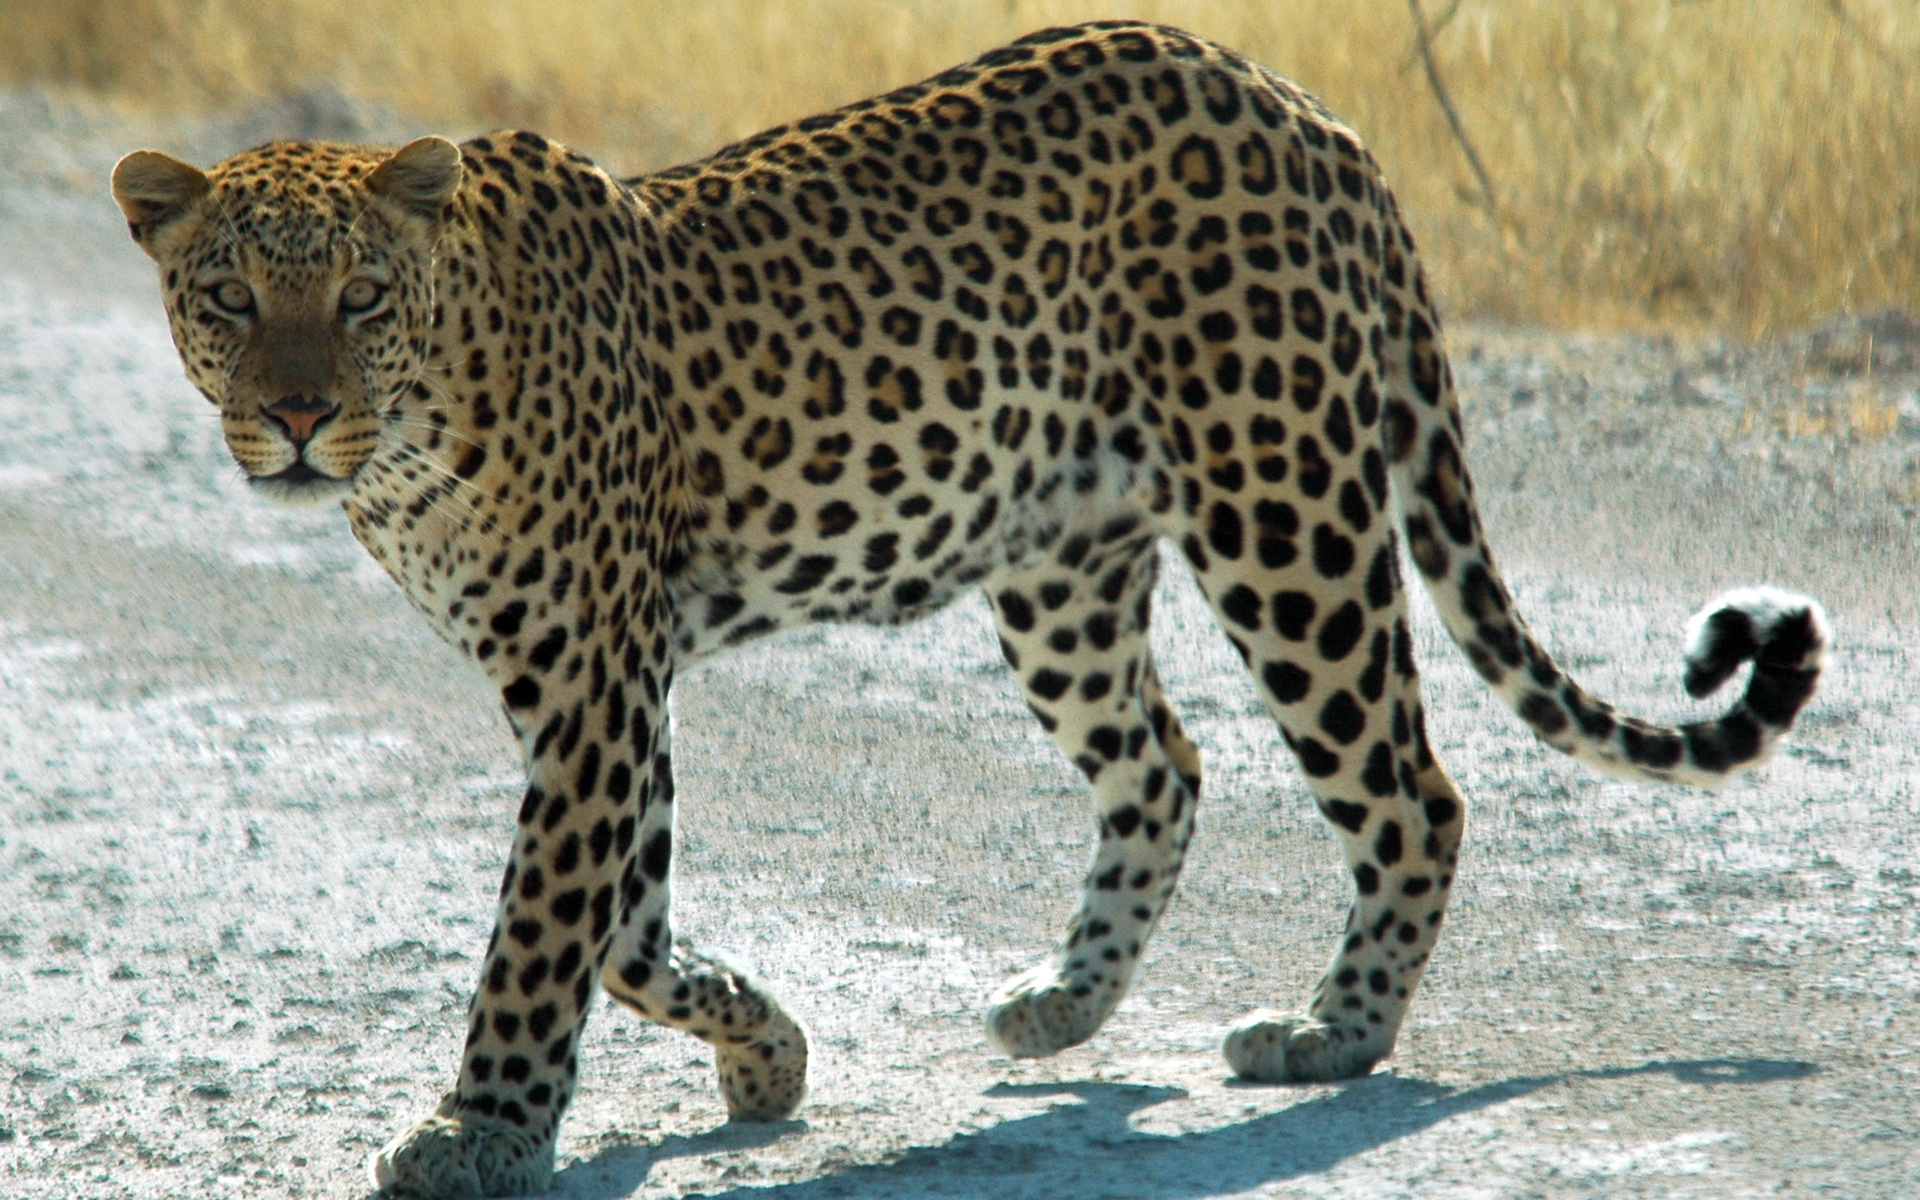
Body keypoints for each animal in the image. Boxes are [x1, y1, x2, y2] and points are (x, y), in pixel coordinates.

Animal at [108, 21, 1827, 1198]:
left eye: (359, 299)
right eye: (228, 300)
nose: (299, 420)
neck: (418, 432)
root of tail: (1303, 104)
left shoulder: (592, 681)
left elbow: (543, 935)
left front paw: (481, 1129)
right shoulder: (604, 685)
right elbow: (628, 927)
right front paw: (766, 1050)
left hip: (1286, 512)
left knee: (1412, 785)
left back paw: (1330, 1036)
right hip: (1058, 566)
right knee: (1164, 764)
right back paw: (1065, 1007)